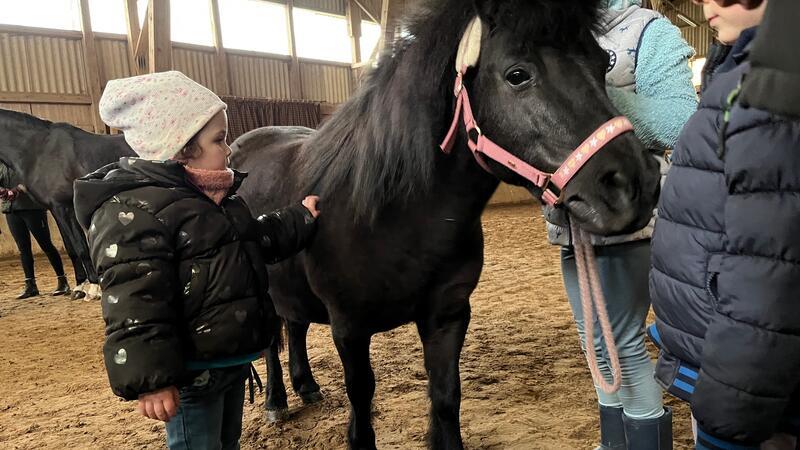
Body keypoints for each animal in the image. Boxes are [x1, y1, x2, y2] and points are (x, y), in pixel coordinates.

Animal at [0, 109, 134, 298]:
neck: (37, 149)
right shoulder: (58, 209)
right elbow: (71, 248)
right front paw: (79, 287)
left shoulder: (62, 206)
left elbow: (80, 247)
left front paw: (95, 288)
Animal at [230, 0, 661, 448]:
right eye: (517, 74)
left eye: (602, 63)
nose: (636, 184)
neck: (394, 216)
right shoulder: (349, 329)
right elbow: (362, 403)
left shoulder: (448, 315)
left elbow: (445, 396)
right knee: (271, 345)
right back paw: (276, 402)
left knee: (294, 325)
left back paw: (307, 387)